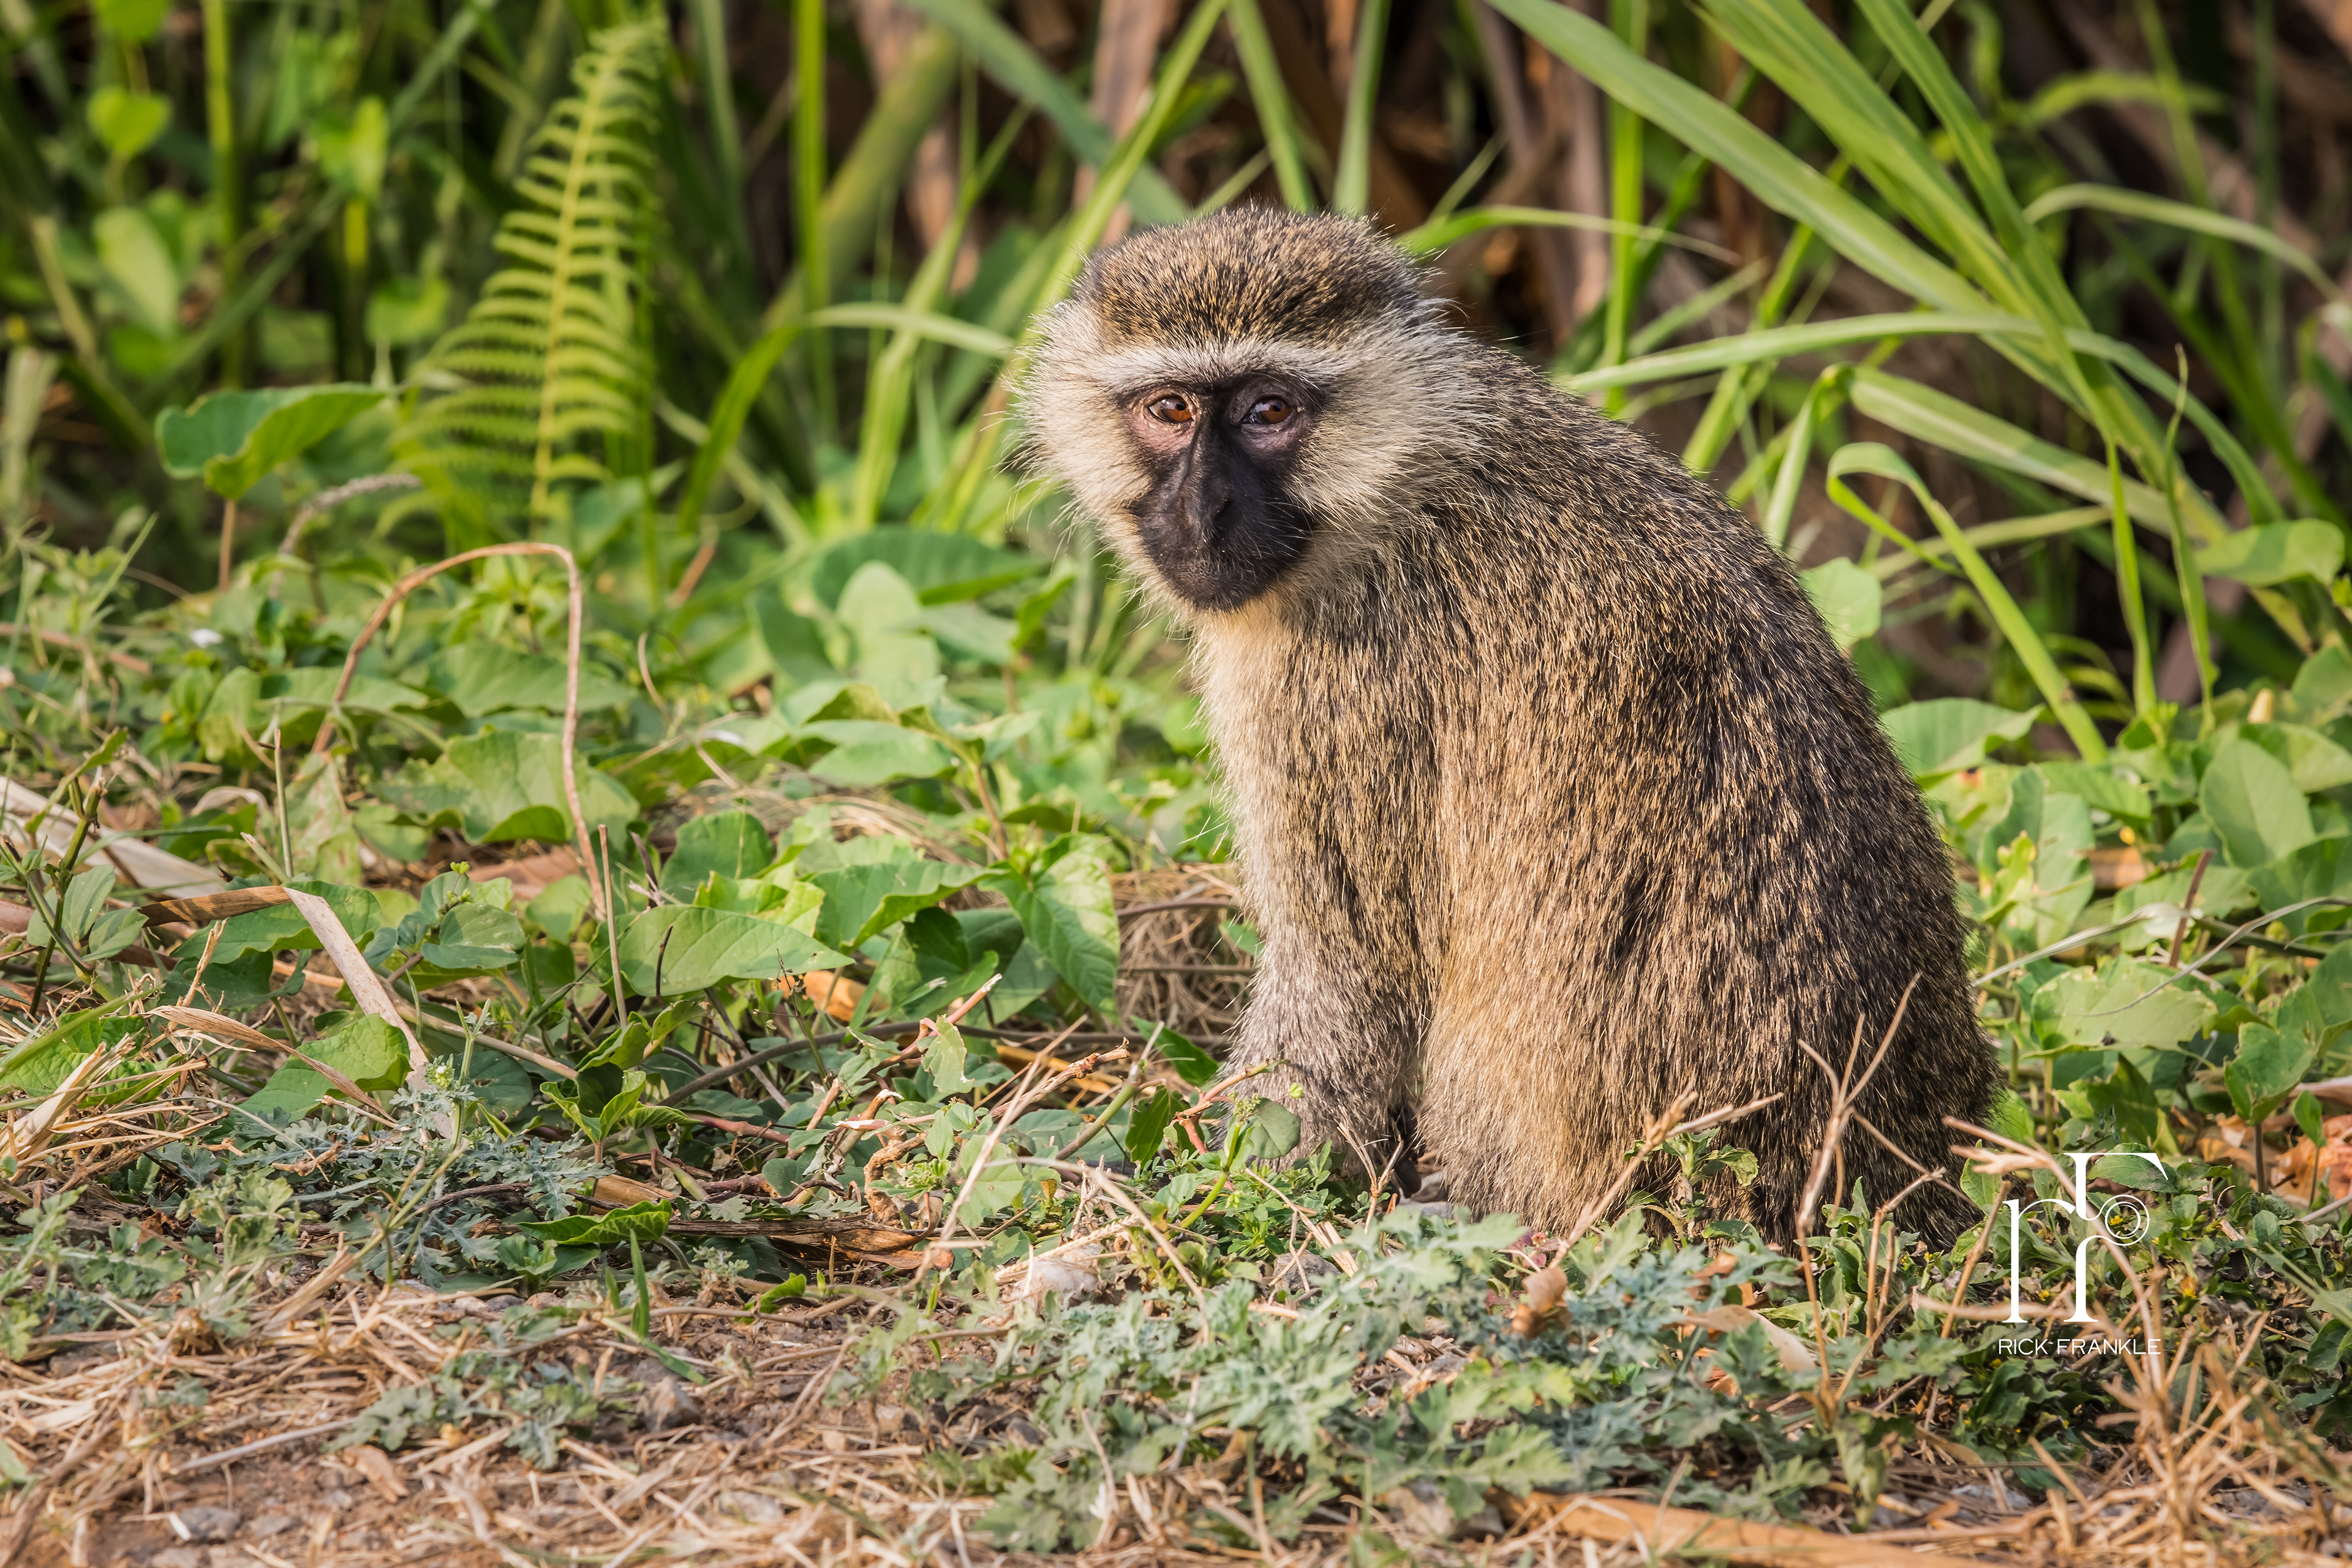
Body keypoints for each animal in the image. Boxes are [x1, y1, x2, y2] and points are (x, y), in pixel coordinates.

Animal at [1017, 206, 1998, 1244]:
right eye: (1169, 410)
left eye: (1269, 411)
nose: (1205, 511)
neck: (1400, 486)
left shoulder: (1336, 688)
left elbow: (1348, 981)